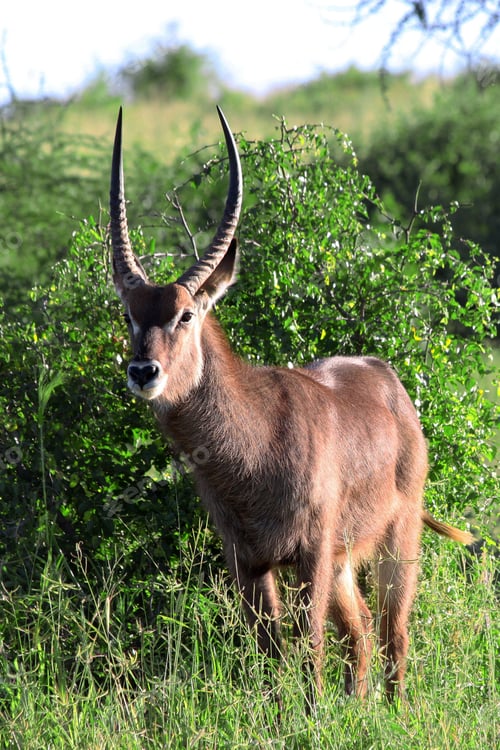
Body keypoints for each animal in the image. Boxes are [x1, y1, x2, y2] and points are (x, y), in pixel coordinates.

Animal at [109, 107, 473, 705]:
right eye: (129, 314)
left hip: (395, 541)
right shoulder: (248, 560)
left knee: (394, 632)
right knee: (363, 632)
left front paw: (314, 712)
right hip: (346, 561)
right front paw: (286, 714)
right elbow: (272, 653)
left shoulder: (312, 552)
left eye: (185, 314)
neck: (253, 448)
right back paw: (358, 703)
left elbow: (310, 648)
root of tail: (386, 377)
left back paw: (395, 711)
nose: (144, 372)